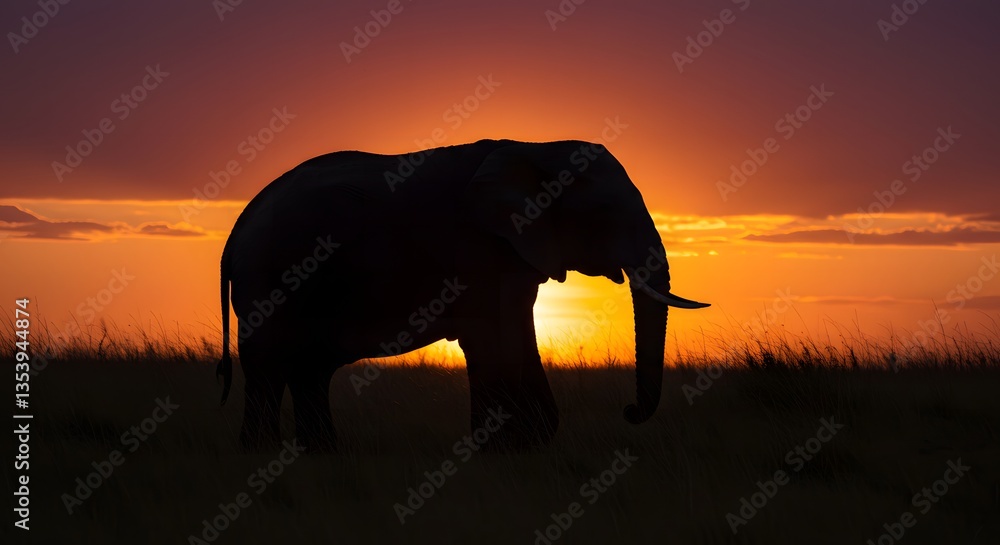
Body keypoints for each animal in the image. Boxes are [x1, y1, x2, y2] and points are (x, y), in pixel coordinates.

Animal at [216, 139, 709, 452]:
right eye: (605, 214)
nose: (628, 411)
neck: (538, 149)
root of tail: (238, 228)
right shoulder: (478, 248)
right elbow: (493, 340)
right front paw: (499, 453)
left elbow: (518, 337)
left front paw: (526, 445)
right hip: (272, 277)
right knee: (270, 366)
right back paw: (260, 454)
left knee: (309, 369)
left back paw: (322, 455)